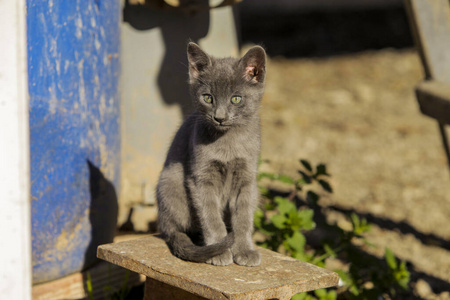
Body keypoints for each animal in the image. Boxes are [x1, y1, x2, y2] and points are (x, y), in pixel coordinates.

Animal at [156, 41, 266, 266]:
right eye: (208, 98)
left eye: (236, 99)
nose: (220, 117)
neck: (228, 143)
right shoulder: (201, 178)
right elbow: (211, 216)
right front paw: (219, 251)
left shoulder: (247, 179)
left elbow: (243, 217)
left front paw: (244, 250)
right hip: (171, 181)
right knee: (177, 230)